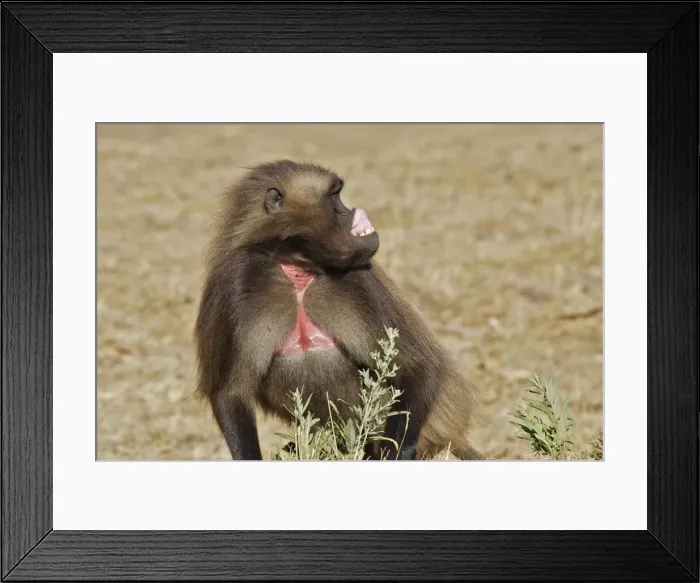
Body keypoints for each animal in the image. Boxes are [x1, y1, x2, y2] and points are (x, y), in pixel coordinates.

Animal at [194, 159, 482, 461]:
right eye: (334, 196)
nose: (351, 210)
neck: (298, 269)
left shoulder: (359, 281)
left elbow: (416, 367)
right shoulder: (235, 284)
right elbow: (231, 394)